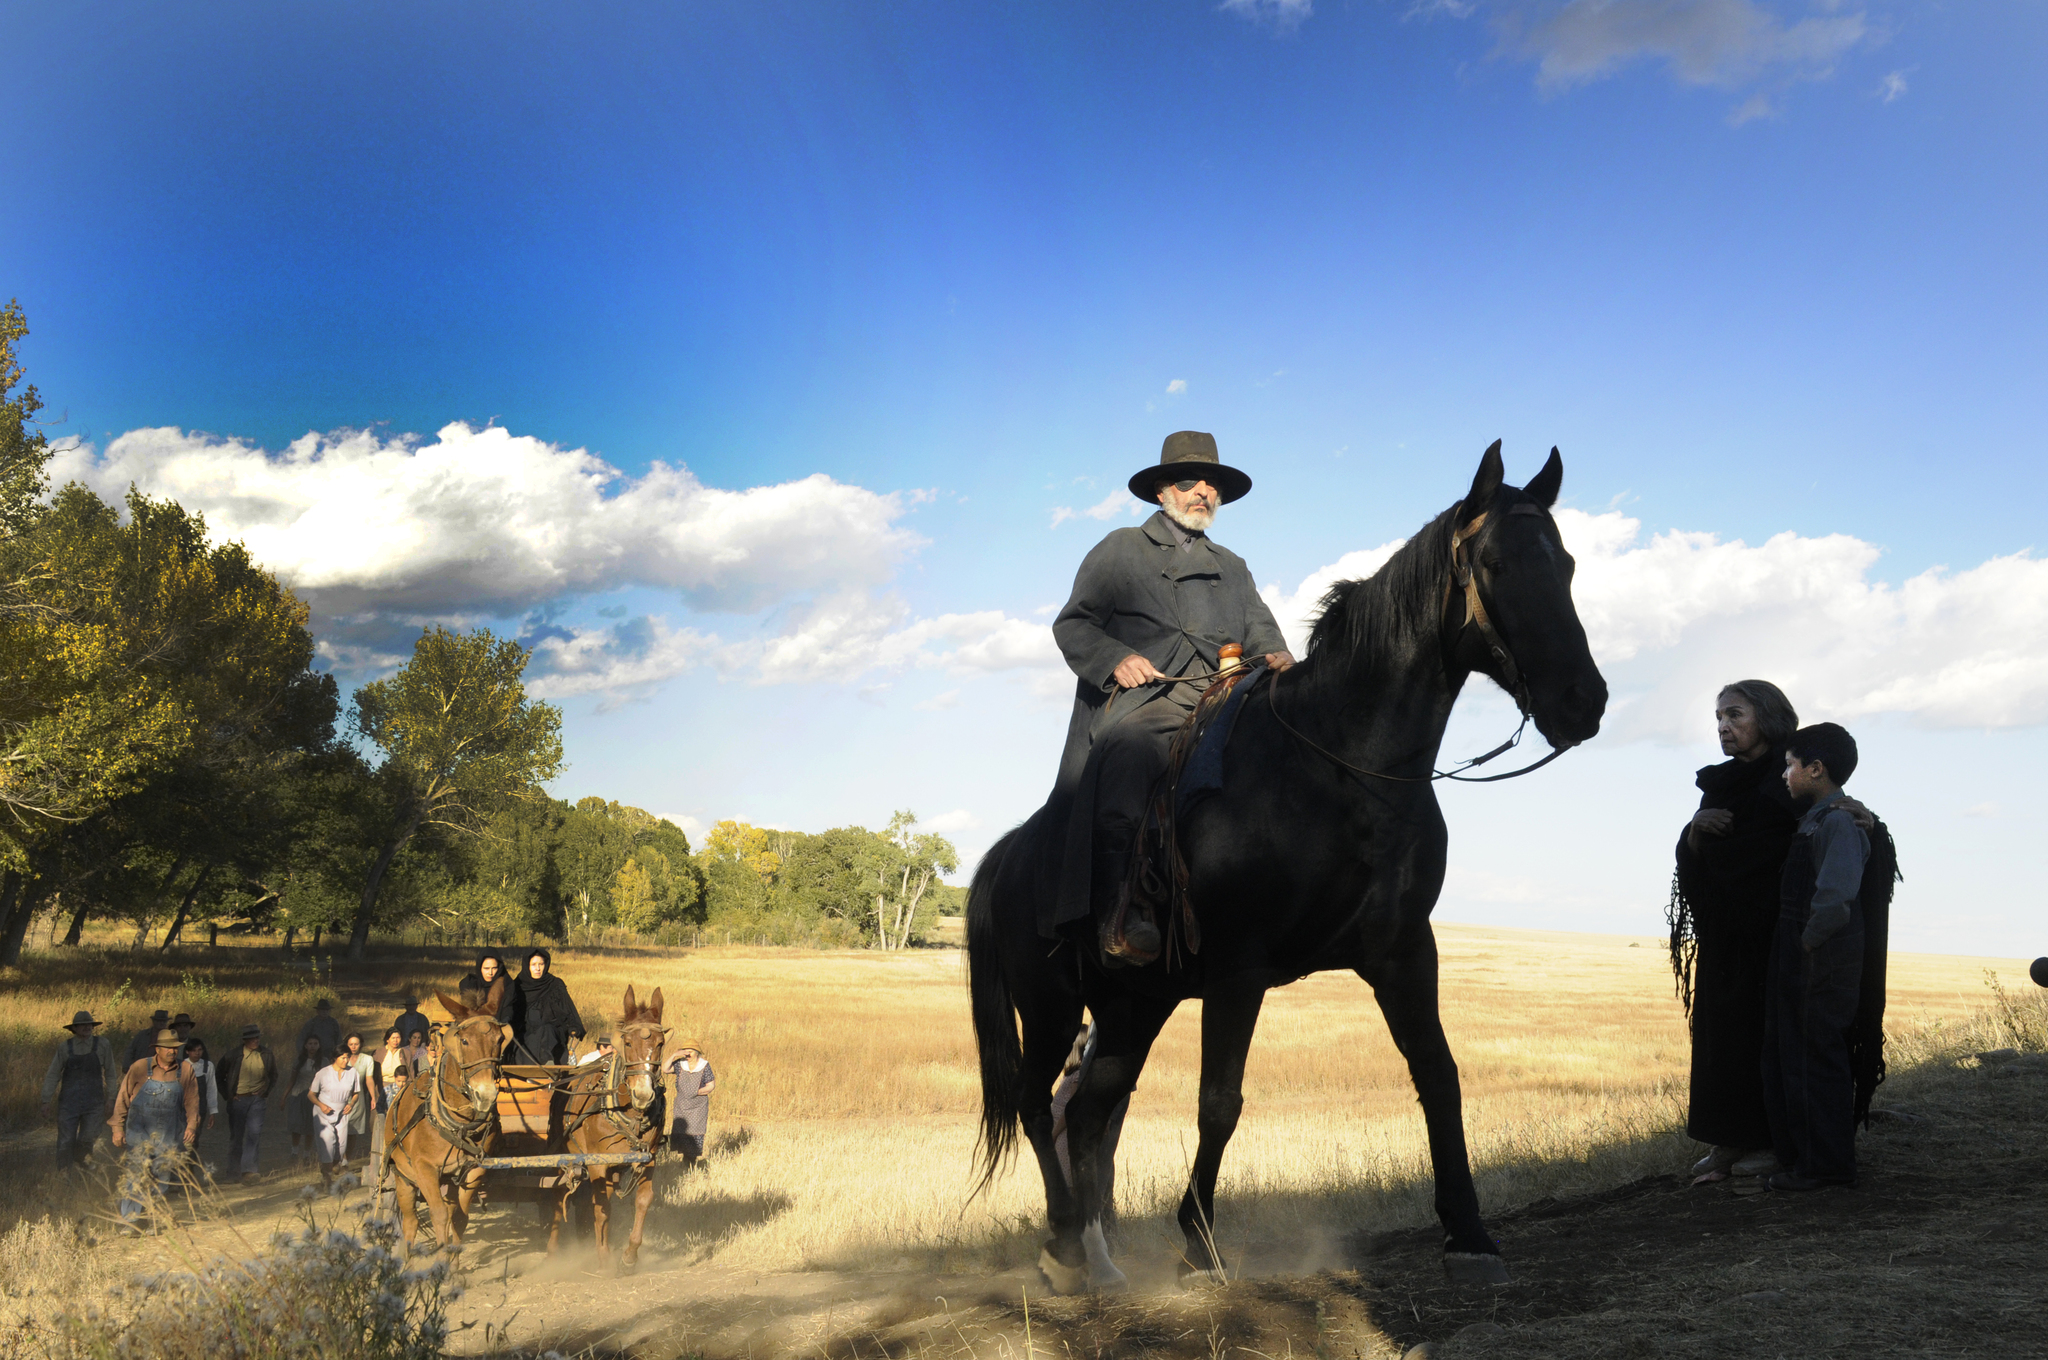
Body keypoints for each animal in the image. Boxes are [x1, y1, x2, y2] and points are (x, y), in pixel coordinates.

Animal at [966, 444, 1605, 1294]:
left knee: (1092, 1113)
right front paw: (1199, 1245)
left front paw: (1469, 1232)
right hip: (1051, 1005)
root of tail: (1009, 854)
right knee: (1041, 1106)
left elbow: (1439, 1074)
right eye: (1497, 563)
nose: (1583, 702)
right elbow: (1219, 1102)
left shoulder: (1403, 952)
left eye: (1565, 564)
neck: (1340, 768)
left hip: (1135, 1006)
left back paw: (1098, 1258)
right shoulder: (1239, 967)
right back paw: (1067, 1246)